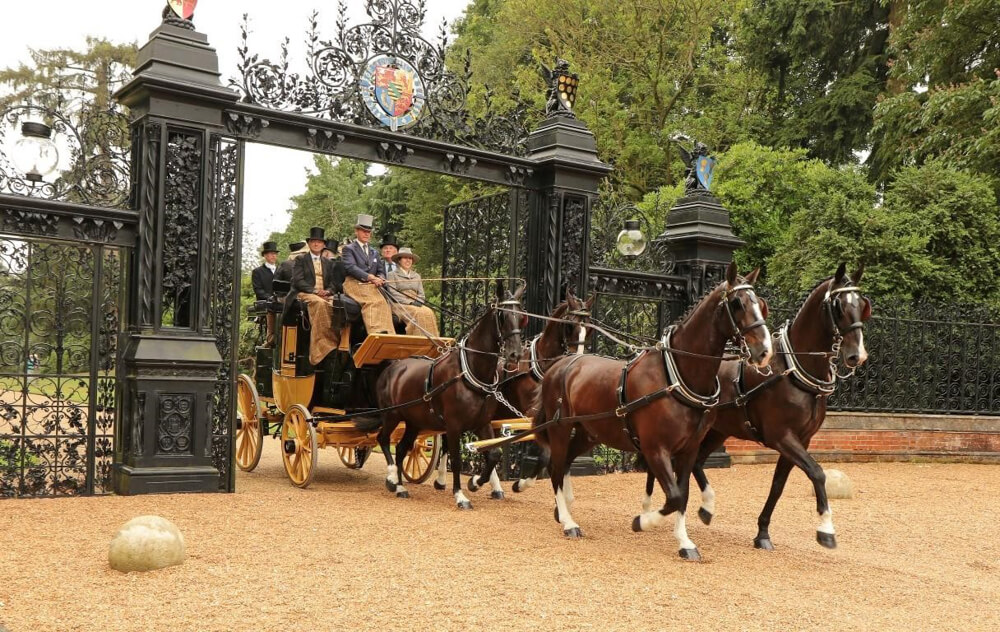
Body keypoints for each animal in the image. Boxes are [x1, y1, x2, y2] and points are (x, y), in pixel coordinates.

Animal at [360, 282, 532, 508]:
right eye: (502, 315)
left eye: (522, 316)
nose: (516, 354)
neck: (470, 374)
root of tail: (392, 366)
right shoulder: (453, 426)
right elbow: (457, 460)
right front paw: (460, 495)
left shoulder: (482, 423)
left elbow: (494, 453)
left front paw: (475, 482)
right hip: (392, 415)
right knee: (383, 439)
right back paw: (391, 479)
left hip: (414, 422)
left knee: (402, 449)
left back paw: (400, 487)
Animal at [532, 264, 772, 560]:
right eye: (737, 303)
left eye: (760, 303)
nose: (765, 351)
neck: (676, 376)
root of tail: (560, 364)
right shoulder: (655, 448)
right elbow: (674, 497)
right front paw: (643, 521)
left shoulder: (689, 449)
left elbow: (683, 493)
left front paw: (685, 542)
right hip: (561, 428)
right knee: (555, 468)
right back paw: (568, 522)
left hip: (589, 433)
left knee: (564, 463)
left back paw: (562, 509)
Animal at [676, 262, 872, 548]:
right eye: (838, 307)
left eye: (862, 305)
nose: (857, 355)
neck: (793, 371)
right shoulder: (782, 437)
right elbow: (817, 473)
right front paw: (826, 529)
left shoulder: (801, 440)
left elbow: (778, 485)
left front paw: (762, 532)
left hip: (717, 432)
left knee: (697, 463)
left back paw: (706, 509)